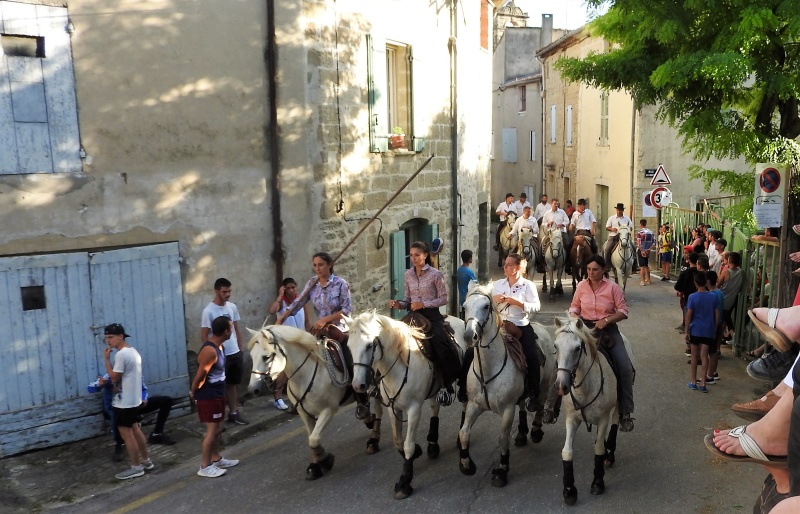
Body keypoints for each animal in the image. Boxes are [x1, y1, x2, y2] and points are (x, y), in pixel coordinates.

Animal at [245, 326, 382, 478]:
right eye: (252, 356)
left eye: (267, 357)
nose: (253, 389)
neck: (307, 375)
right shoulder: (304, 413)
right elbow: (311, 438)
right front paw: (316, 464)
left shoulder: (328, 410)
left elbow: (314, 439)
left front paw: (325, 460)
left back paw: (373, 440)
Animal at [350, 310, 468, 498]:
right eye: (349, 346)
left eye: (369, 345)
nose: (357, 385)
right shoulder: (393, 408)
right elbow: (398, 440)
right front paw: (418, 451)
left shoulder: (414, 410)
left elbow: (408, 445)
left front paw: (404, 481)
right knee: (434, 408)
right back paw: (432, 444)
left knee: (464, 404)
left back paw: (458, 438)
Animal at [456, 284, 556, 484]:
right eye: (464, 306)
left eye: (486, 306)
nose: (470, 336)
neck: (488, 369)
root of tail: (541, 327)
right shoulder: (473, 405)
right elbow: (464, 433)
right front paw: (466, 465)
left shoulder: (508, 409)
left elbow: (503, 438)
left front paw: (502, 470)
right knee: (523, 405)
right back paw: (521, 433)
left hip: (544, 384)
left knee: (539, 404)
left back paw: (535, 431)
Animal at [552, 316, 636, 504]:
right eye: (555, 346)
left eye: (577, 348)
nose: (561, 386)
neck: (586, 386)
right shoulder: (571, 419)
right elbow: (566, 452)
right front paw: (569, 490)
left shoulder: (603, 418)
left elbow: (598, 449)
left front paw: (598, 483)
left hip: (618, 400)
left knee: (616, 420)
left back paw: (610, 454)